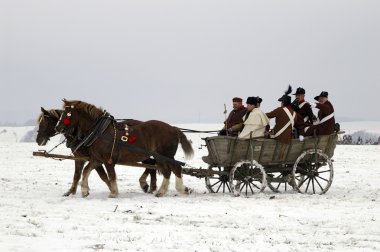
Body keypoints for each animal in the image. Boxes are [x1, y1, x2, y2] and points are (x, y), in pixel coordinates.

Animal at [55, 99, 194, 198]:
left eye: (67, 114)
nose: (57, 127)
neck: (100, 132)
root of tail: (174, 128)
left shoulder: (108, 160)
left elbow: (111, 175)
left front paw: (113, 192)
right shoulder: (97, 159)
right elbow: (86, 171)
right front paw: (84, 191)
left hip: (167, 155)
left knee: (176, 168)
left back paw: (180, 189)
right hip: (160, 156)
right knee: (167, 171)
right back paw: (161, 191)